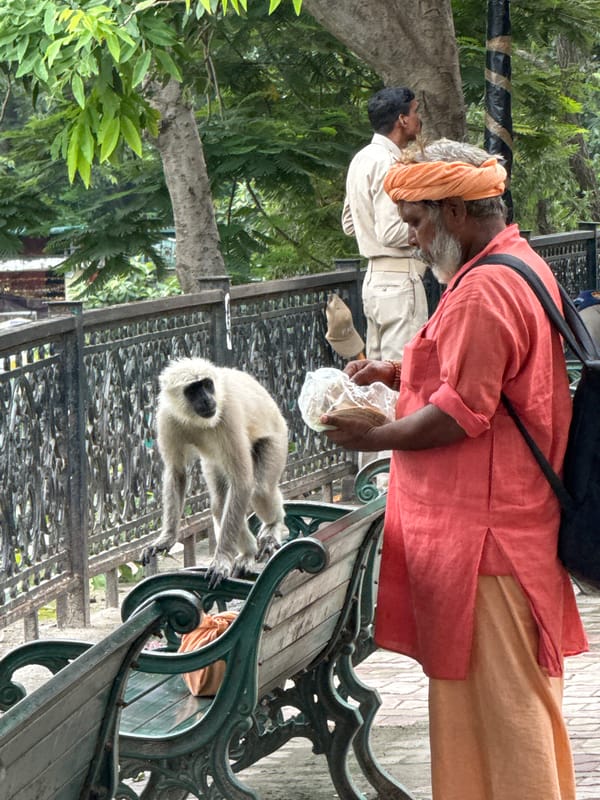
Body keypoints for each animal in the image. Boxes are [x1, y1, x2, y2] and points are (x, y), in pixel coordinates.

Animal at [142, 357, 289, 587]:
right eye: (193, 390)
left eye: (207, 384)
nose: (207, 399)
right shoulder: (167, 417)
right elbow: (176, 472)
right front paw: (166, 539)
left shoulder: (228, 412)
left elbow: (243, 482)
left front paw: (222, 560)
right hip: (214, 464)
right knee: (220, 505)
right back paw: (247, 553)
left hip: (278, 438)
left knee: (260, 490)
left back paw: (274, 526)